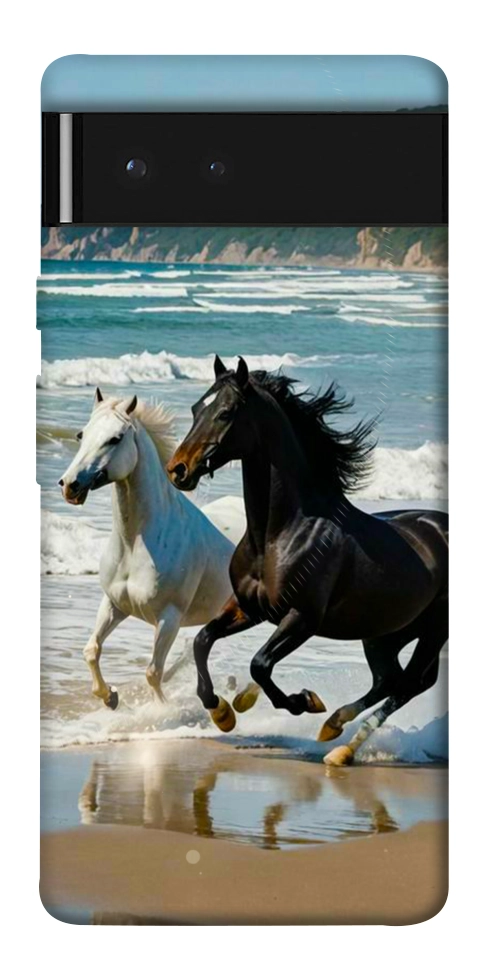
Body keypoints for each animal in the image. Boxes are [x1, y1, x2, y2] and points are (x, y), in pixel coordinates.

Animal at [59, 387, 234, 709]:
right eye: (81, 434)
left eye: (115, 438)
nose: (69, 485)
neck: (135, 544)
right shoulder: (114, 604)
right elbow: (91, 650)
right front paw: (110, 697)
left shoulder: (169, 618)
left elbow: (153, 672)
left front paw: (161, 711)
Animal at [166, 356, 448, 765]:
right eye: (194, 409)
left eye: (226, 412)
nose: (178, 469)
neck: (279, 534)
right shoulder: (249, 608)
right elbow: (203, 641)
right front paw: (222, 712)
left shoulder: (302, 618)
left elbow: (260, 664)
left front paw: (303, 702)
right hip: (384, 633)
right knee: (390, 680)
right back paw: (334, 729)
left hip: (431, 631)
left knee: (409, 683)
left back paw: (340, 745)